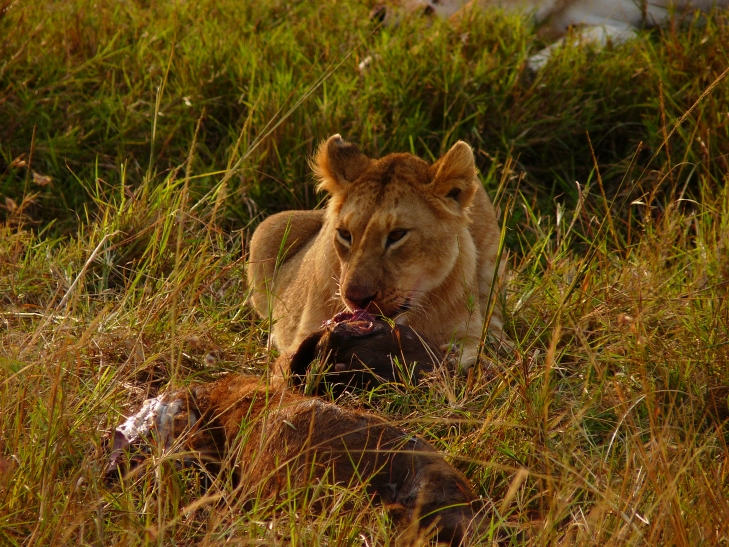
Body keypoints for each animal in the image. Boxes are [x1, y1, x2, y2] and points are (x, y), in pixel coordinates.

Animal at [247, 135, 508, 370]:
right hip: (267, 228)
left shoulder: (467, 331)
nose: (356, 299)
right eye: (345, 234)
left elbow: (472, 347)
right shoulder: (304, 334)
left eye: (396, 235)